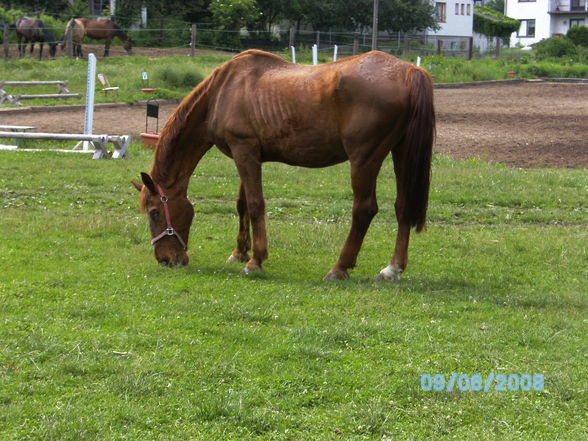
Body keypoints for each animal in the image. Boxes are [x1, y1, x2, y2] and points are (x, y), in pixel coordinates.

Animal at [133, 49, 436, 282]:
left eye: (155, 213)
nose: (166, 260)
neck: (222, 91)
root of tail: (409, 71)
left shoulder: (244, 151)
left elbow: (256, 205)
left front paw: (255, 261)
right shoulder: (247, 154)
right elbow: (243, 204)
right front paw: (239, 253)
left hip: (364, 159)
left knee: (364, 209)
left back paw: (339, 268)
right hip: (401, 153)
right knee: (403, 207)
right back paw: (393, 268)